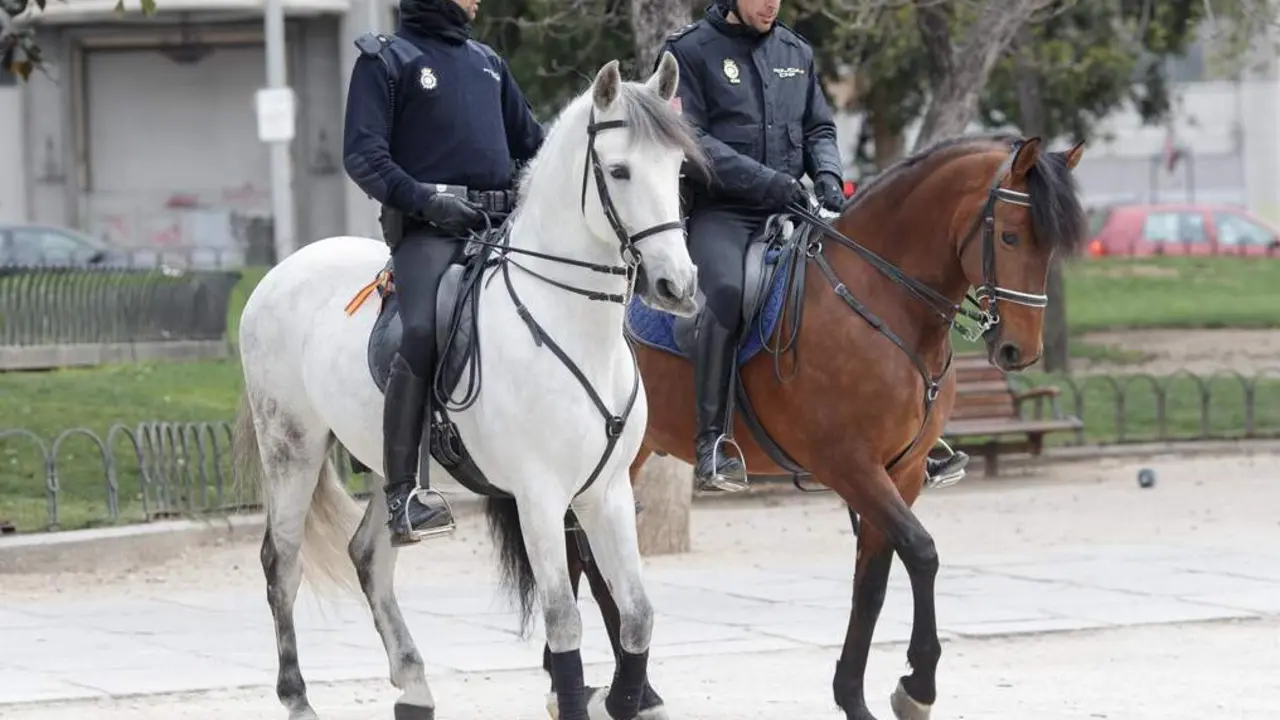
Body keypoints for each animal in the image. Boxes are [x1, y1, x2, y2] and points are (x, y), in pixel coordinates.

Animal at [232, 52, 708, 720]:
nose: (677, 287)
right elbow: (564, 619)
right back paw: (297, 696)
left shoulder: (606, 491)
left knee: (369, 555)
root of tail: (282, 271)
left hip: (388, 462)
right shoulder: (539, 496)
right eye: (619, 171)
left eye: (678, 169)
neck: (569, 322)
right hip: (292, 448)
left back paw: (414, 685)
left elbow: (637, 613)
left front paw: (628, 699)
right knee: (283, 561)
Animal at [546, 132, 1088, 718]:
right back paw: (604, 690)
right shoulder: (849, 466)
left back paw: (628, 691)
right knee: (585, 555)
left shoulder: (903, 473)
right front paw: (917, 686)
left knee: (589, 556)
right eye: (1010, 236)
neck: (881, 300)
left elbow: (873, 580)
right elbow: (922, 553)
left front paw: (854, 695)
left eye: (1049, 246)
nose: (1018, 350)